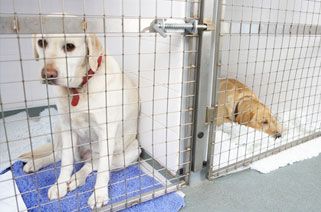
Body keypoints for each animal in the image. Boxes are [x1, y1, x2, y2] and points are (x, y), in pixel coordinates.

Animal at [20, 34, 140, 208]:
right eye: (41, 42)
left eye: (69, 46)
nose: (47, 74)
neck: (79, 89)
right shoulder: (66, 126)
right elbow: (66, 162)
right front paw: (60, 185)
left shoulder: (106, 132)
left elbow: (103, 170)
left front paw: (99, 195)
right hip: (58, 127)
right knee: (58, 155)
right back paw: (36, 164)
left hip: (130, 152)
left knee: (92, 165)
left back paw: (76, 179)